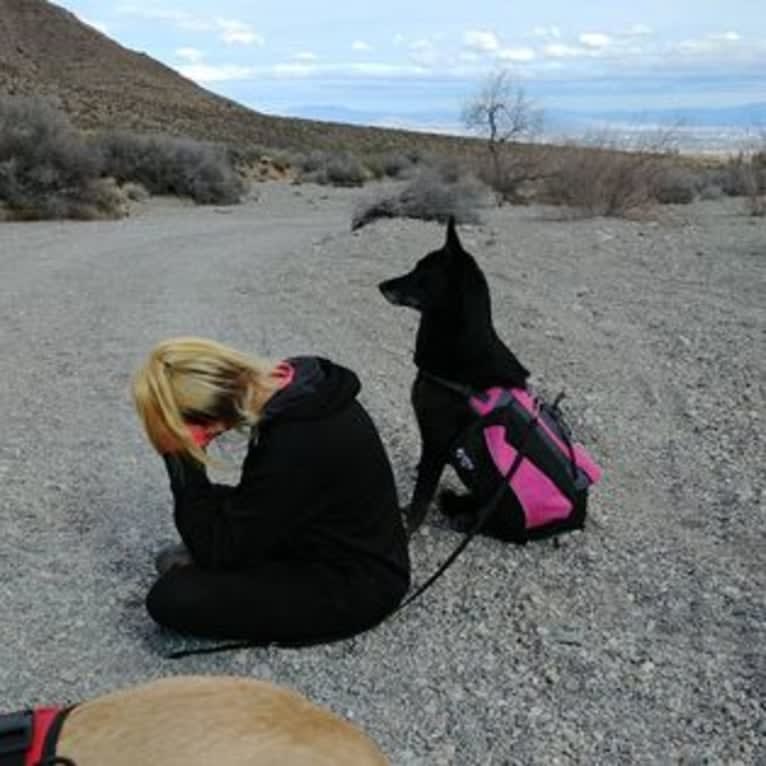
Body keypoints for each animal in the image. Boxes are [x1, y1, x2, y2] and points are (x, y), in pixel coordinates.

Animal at [378, 219, 528, 536]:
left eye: (421, 273)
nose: (381, 285)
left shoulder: (437, 445)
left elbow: (421, 498)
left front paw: (407, 530)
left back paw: (465, 519)